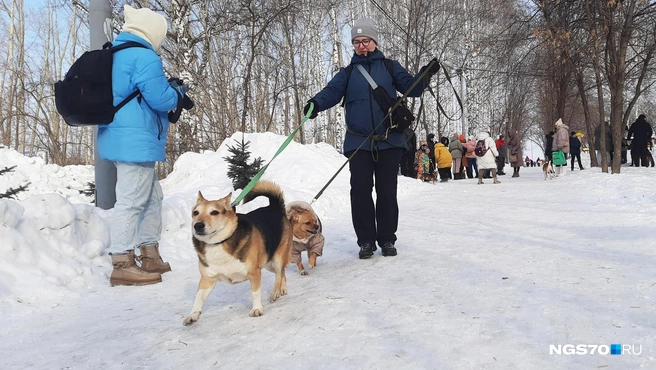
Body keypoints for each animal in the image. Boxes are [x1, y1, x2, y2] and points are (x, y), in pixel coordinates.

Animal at [182, 181, 290, 326]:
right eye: (195, 212)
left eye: (214, 212)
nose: (198, 225)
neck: (218, 243)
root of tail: (274, 206)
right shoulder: (207, 279)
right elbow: (198, 297)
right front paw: (193, 315)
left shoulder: (254, 273)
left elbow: (255, 292)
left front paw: (257, 309)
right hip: (268, 261)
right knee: (282, 272)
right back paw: (282, 289)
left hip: (276, 258)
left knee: (279, 273)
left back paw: (276, 292)